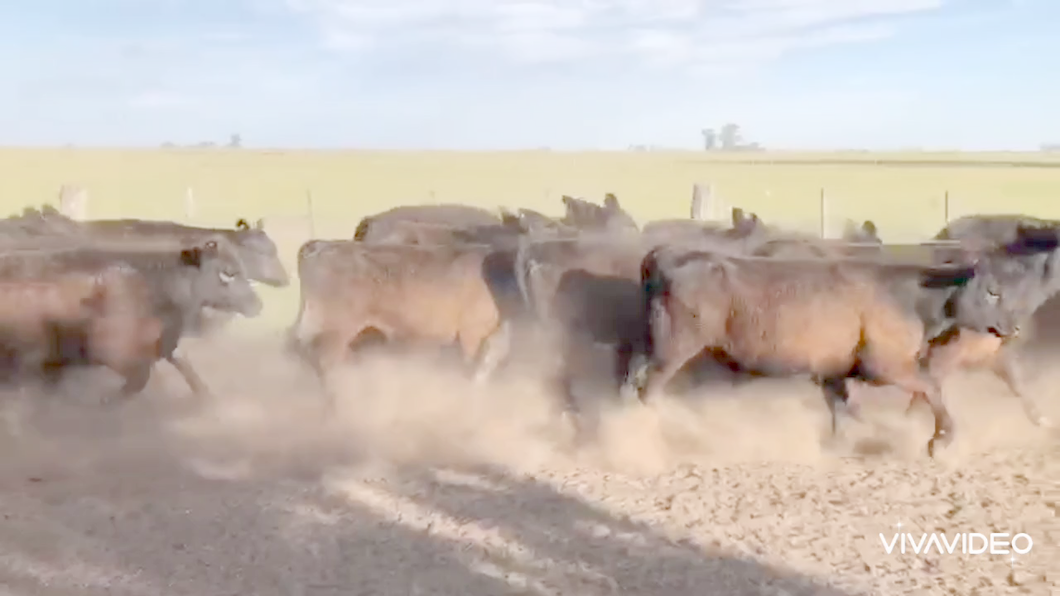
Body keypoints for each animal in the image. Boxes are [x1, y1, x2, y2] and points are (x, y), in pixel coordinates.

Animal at [623, 239, 1038, 453]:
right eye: (992, 290)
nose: (1014, 326)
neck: (909, 295)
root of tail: (664, 253)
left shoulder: (834, 372)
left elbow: (843, 409)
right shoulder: (886, 366)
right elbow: (930, 387)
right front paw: (941, 438)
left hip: (653, 344)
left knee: (632, 376)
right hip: (673, 349)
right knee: (649, 390)